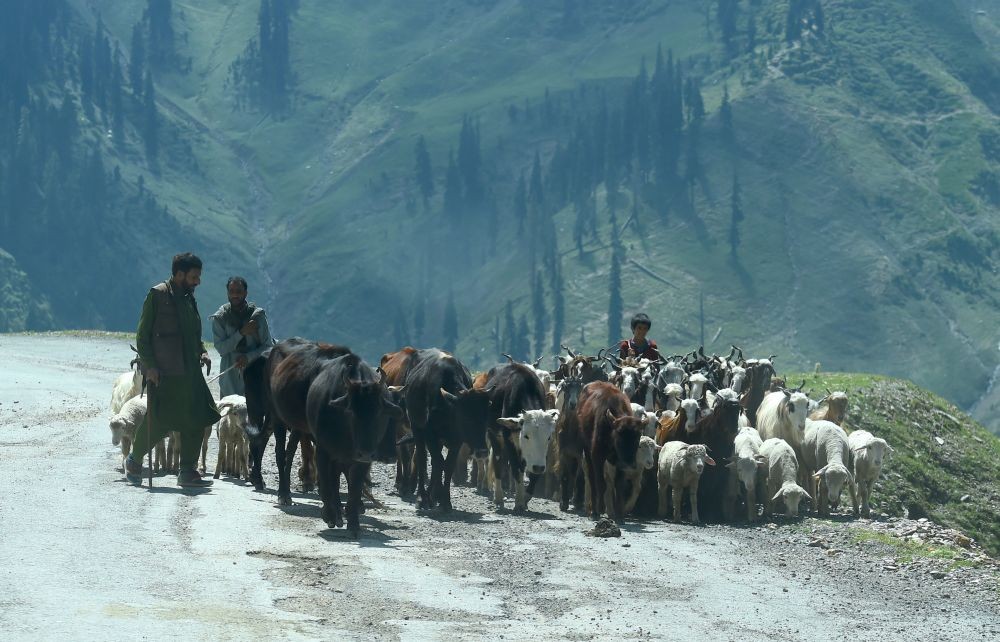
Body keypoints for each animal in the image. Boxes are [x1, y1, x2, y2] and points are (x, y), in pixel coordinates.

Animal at [306, 351, 403, 537]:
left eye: (379, 412)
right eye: (351, 411)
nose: (364, 453)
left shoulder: (362, 462)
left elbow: (355, 489)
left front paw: (353, 523)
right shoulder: (322, 451)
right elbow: (327, 484)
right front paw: (329, 515)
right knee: (333, 481)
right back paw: (336, 514)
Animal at [403, 349, 492, 511]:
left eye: (485, 418)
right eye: (467, 418)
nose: (482, 452)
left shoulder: (457, 440)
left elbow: (448, 465)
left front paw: (445, 501)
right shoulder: (430, 435)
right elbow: (438, 463)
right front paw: (430, 497)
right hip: (417, 429)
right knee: (422, 458)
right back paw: (423, 497)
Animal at [482, 362, 560, 511]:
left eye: (548, 437)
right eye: (526, 436)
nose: (538, 467)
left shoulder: (540, 456)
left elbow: (533, 474)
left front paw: (525, 498)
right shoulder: (509, 441)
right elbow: (516, 468)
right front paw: (518, 501)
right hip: (494, 436)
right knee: (497, 462)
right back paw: (498, 498)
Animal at [577, 381, 645, 523]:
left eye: (638, 437)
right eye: (619, 434)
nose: (630, 463)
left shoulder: (620, 464)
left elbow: (619, 486)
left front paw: (619, 515)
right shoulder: (597, 456)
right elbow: (600, 483)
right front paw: (599, 510)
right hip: (587, 452)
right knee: (592, 479)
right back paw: (594, 511)